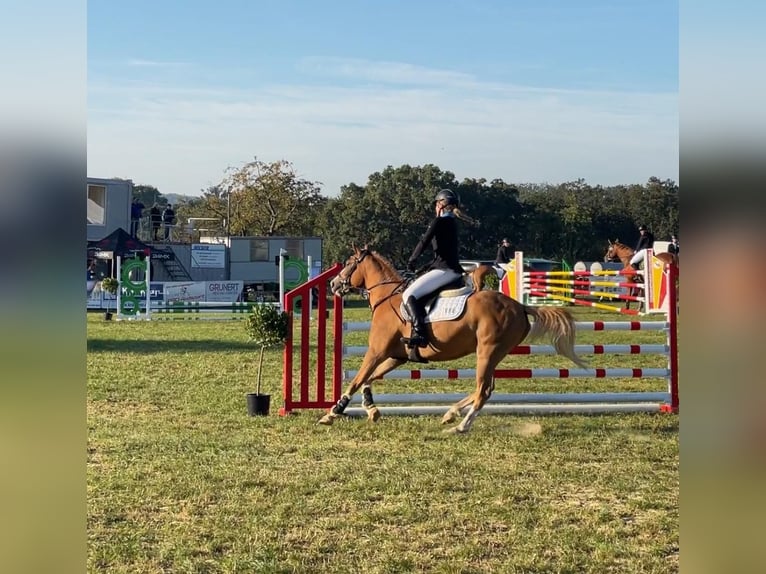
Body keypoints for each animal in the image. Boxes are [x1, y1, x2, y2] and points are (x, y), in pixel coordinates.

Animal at [324, 245, 588, 434]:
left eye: (348, 263)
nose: (333, 284)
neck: (387, 297)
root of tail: (520, 306)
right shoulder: (397, 356)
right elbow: (370, 378)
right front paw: (371, 408)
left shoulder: (376, 351)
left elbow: (357, 379)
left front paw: (333, 412)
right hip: (493, 355)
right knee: (486, 388)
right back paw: (451, 414)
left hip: (487, 352)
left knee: (483, 390)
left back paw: (460, 426)